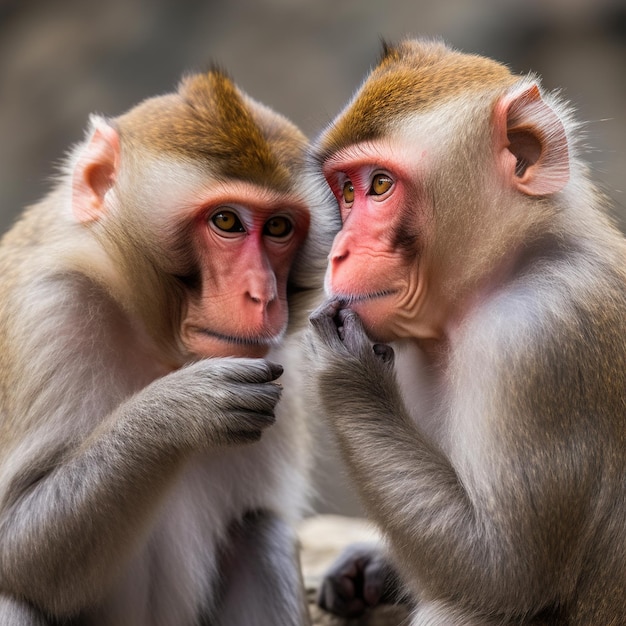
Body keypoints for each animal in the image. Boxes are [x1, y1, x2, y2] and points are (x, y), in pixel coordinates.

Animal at [0, 68, 336, 624]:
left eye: (279, 227)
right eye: (226, 222)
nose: (263, 295)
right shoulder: (49, 312)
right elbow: (11, 546)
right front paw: (178, 411)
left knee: (260, 532)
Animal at [304, 39, 624, 624]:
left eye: (379, 185)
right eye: (346, 191)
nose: (338, 253)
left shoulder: (536, 339)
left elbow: (502, 573)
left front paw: (343, 371)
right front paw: (370, 567)